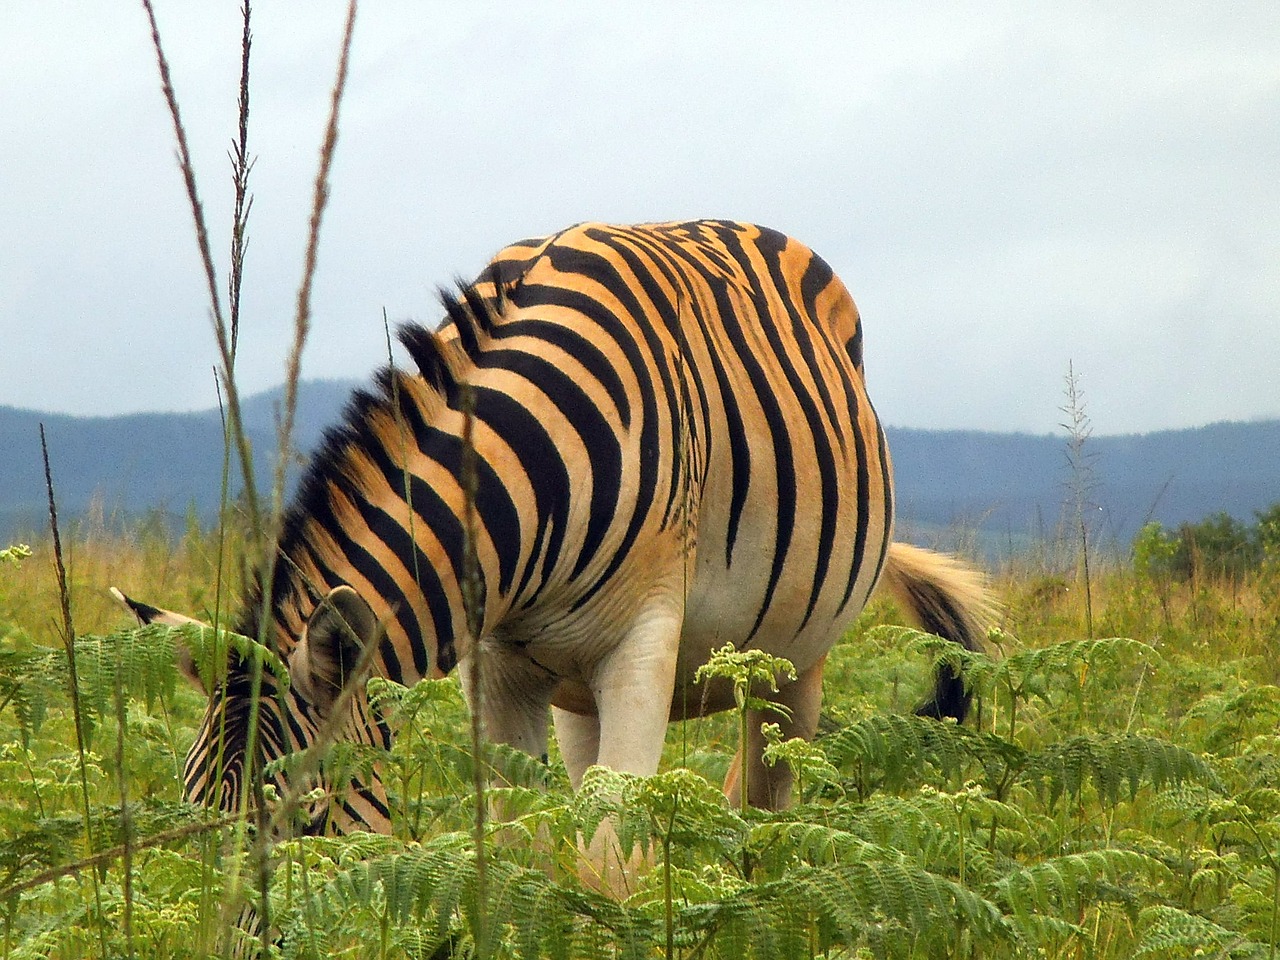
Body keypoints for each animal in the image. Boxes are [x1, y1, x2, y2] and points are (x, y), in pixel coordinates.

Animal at [115, 221, 993, 839]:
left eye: (307, 820)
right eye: (196, 818)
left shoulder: (640, 649)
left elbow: (613, 856)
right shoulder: (501, 667)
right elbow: (522, 844)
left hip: (791, 662)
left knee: (766, 806)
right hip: (576, 688)